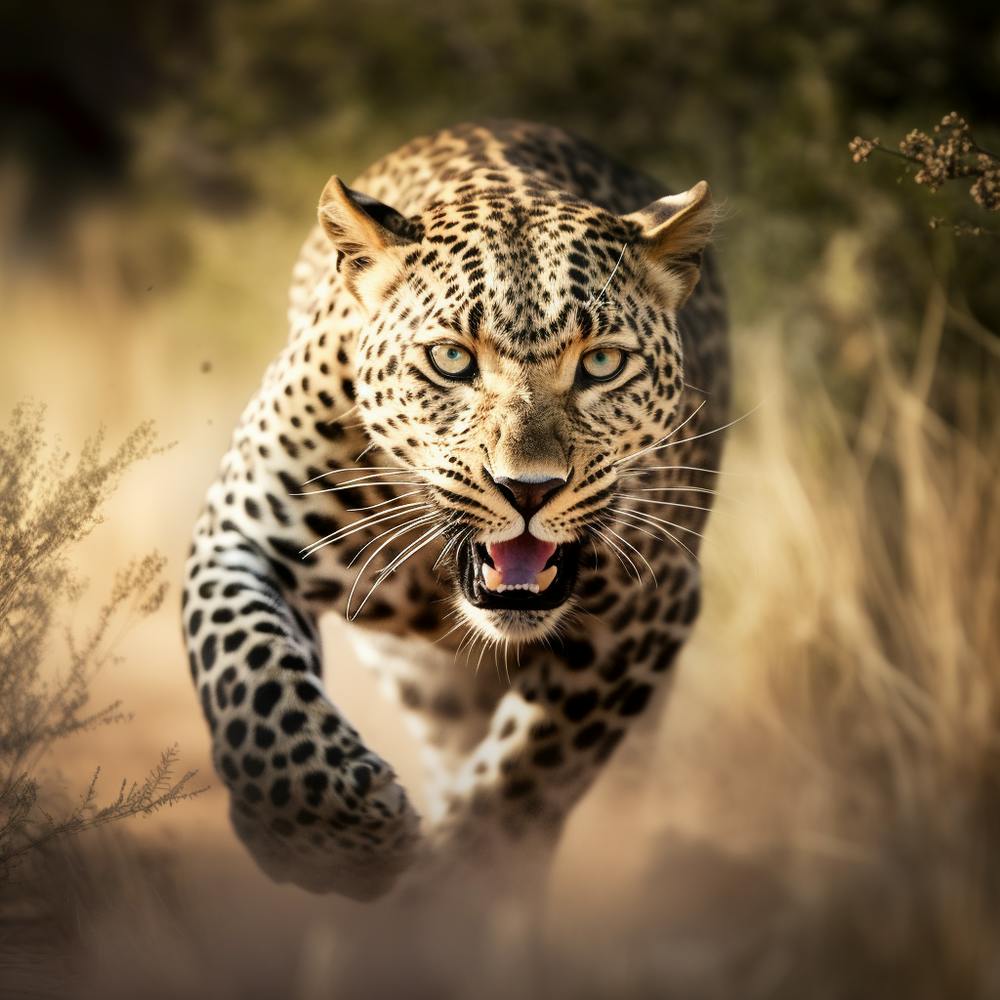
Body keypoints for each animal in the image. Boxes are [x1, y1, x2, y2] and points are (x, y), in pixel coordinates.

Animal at [181, 120, 729, 902]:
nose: (528, 488)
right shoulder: (241, 537)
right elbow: (250, 676)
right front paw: (334, 839)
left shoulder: (649, 608)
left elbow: (531, 768)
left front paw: (451, 885)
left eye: (601, 364)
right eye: (450, 359)